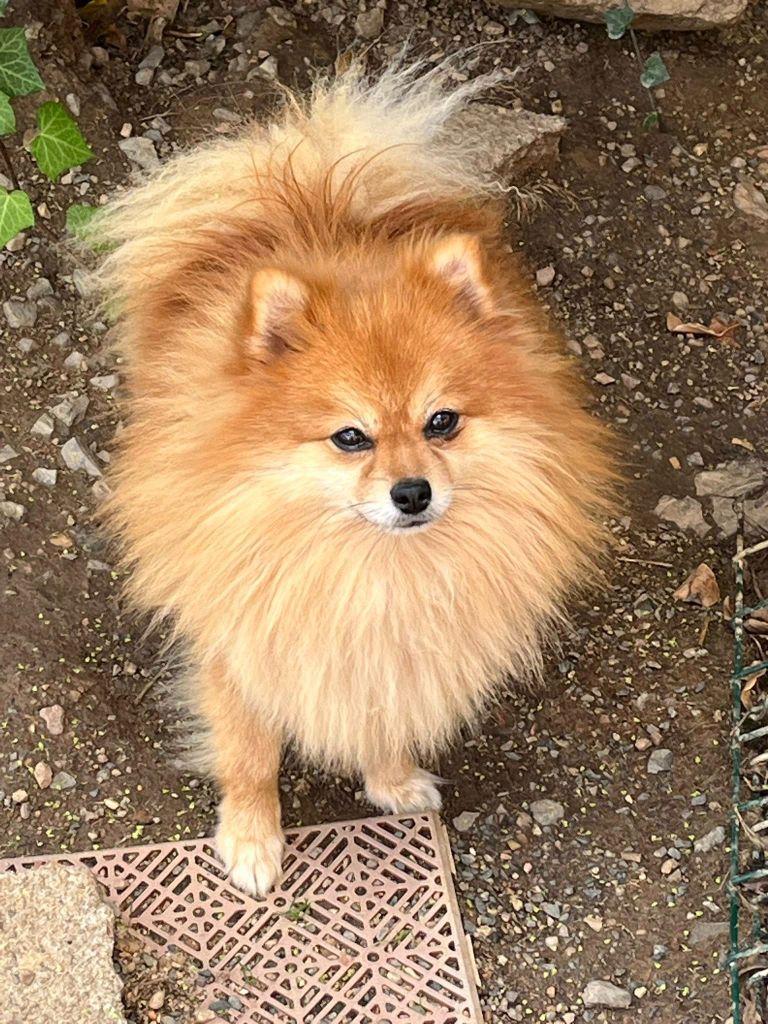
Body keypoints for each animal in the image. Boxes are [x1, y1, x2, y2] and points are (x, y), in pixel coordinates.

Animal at [92, 59, 613, 897]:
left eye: (442, 422)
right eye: (350, 438)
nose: (413, 492)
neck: (373, 570)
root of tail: (315, 192)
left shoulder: (395, 655)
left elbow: (385, 717)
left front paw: (391, 780)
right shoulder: (240, 639)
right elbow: (248, 752)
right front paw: (252, 838)